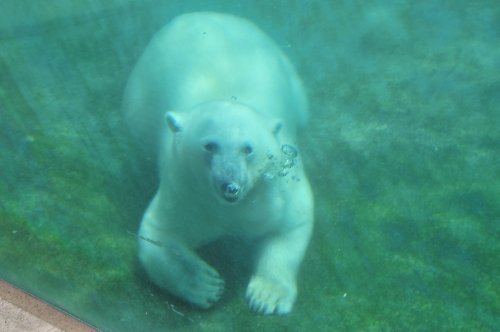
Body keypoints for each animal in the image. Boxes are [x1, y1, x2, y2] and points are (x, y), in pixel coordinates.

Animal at [123, 11, 314, 316]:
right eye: (210, 146)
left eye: (248, 148)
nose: (230, 186)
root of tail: (207, 13)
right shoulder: (185, 194)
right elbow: (157, 235)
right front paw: (206, 285)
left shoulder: (282, 187)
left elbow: (292, 225)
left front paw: (268, 297)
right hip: (140, 93)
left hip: (289, 75)